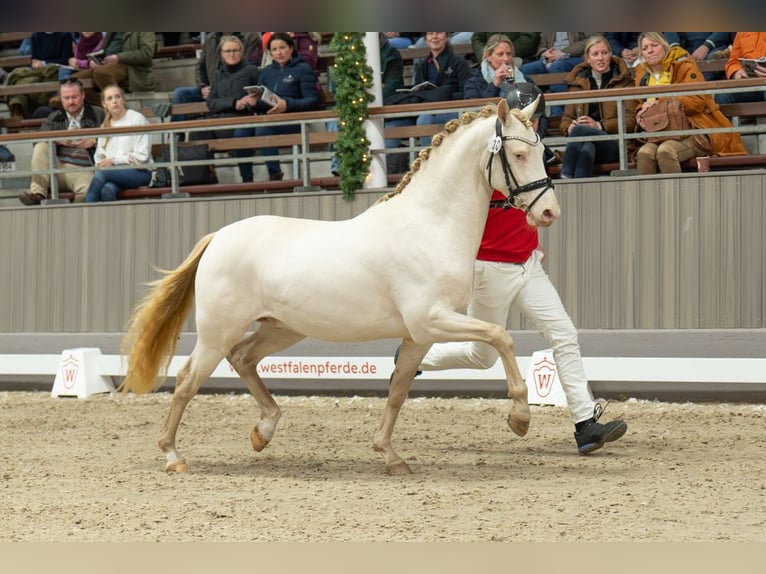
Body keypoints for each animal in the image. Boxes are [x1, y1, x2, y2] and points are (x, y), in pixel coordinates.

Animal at [123, 99, 560, 476]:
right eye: (518, 155)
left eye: (544, 152)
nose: (548, 212)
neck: (429, 225)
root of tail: (218, 237)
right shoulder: (431, 320)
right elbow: (501, 336)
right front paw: (520, 417)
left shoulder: (417, 336)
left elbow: (399, 389)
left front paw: (390, 456)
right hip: (218, 331)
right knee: (187, 380)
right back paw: (173, 456)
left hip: (282, 329)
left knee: (243, 358)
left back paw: (263, 432)